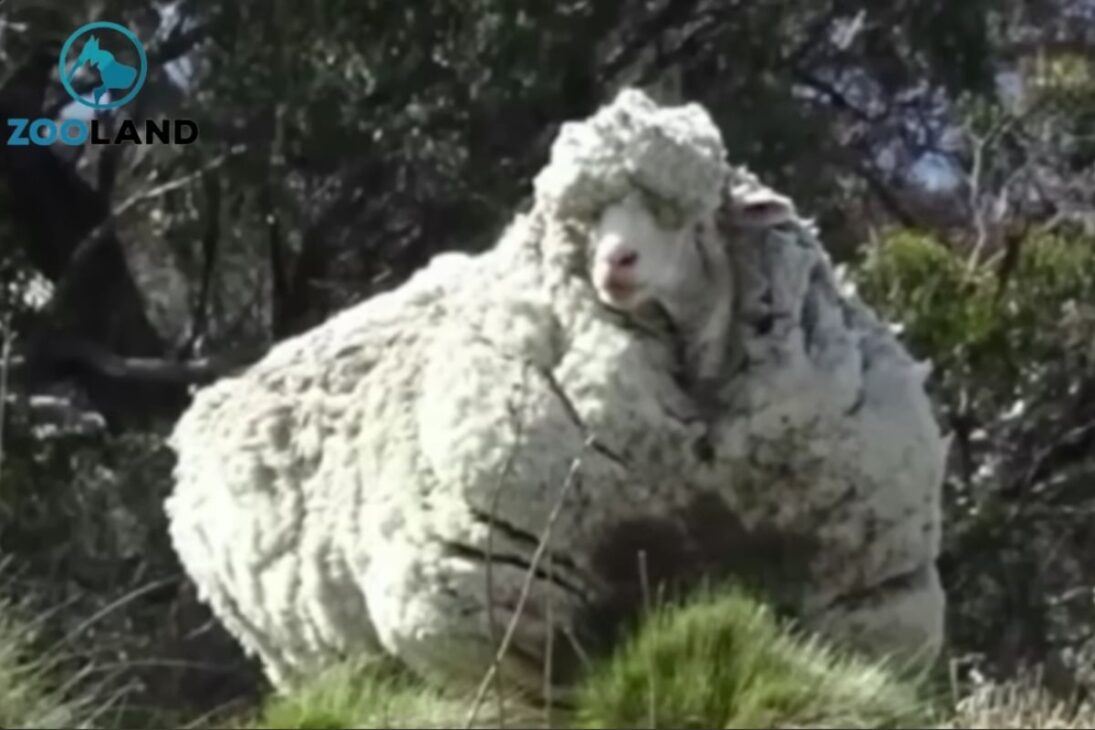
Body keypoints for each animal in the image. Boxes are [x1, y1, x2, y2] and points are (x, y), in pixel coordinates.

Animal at [165, 87, 948, 701]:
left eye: (681, 212)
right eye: (583, 221)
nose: (616, 263)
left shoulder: (858, 596)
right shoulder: (503, 617)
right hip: (312, 661)